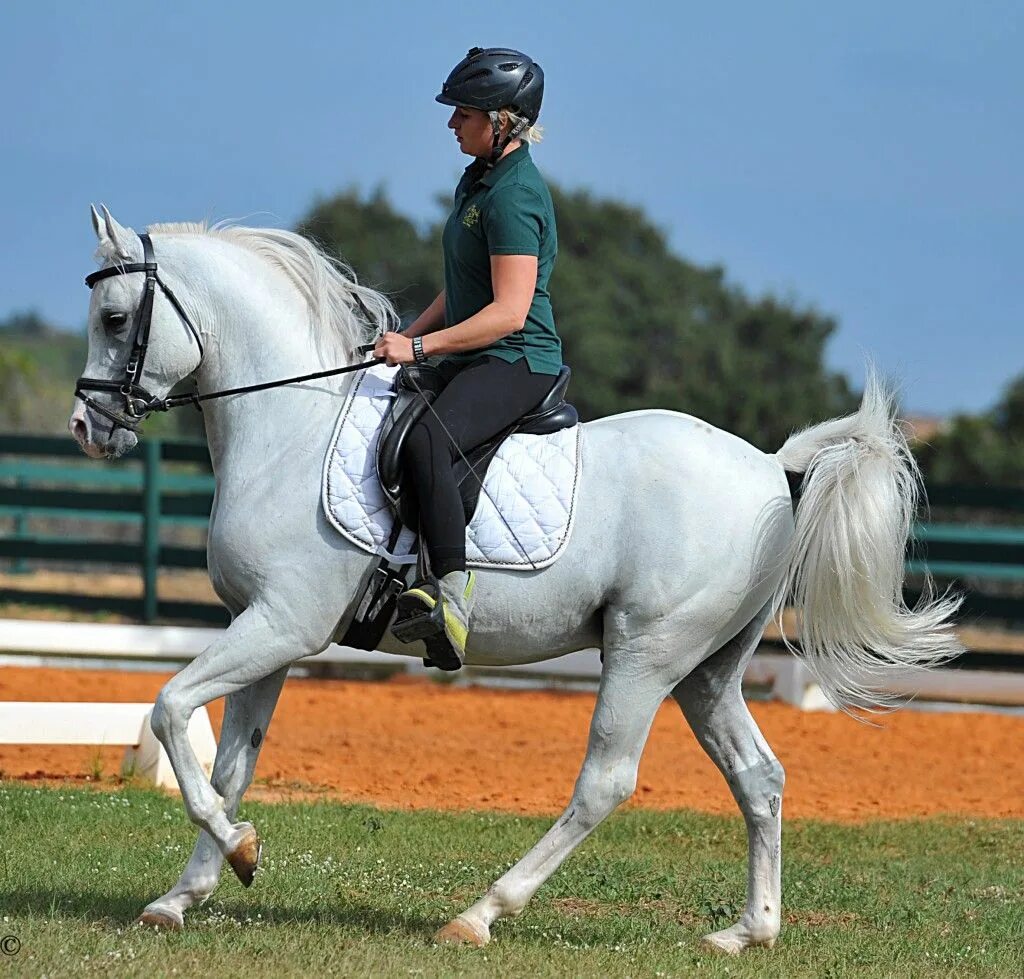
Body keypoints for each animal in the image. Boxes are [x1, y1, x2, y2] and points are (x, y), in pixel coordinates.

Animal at [70, 208, 958, 954]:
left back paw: (480, 913)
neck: (291, 427)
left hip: (646, 651)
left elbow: (169, 707)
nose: (87, 427)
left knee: (605, 782)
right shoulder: (267, 633)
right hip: (707, 670)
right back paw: (747, 932)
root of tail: (775, 467)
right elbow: (228, 766)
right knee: (758, 775)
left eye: (114, 318)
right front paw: (186, 892)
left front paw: (239, 849)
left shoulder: (283, 622)